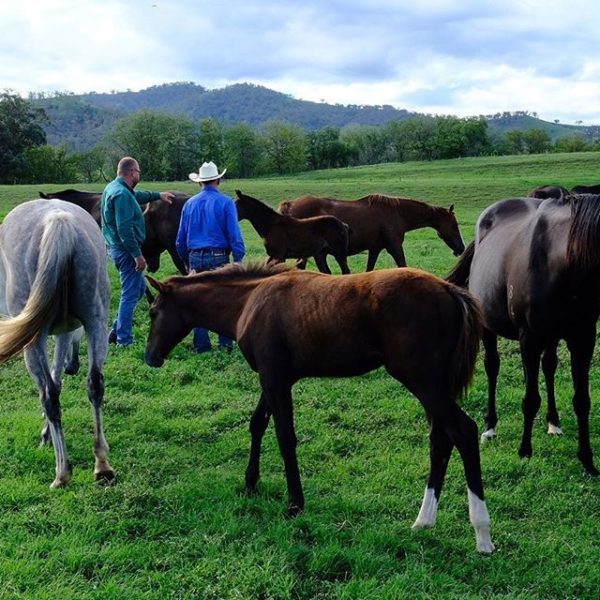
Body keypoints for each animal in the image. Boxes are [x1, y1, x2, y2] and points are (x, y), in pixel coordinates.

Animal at [0, 199, 114, 490]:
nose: (74, 365)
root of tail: (59, 223)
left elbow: (50, 386)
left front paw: (46, 435)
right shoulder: (64, 332)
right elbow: (57, 377)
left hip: (33, 341)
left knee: (49, 395)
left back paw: (62, 473)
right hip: (96, 319)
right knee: (94, 384)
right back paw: (102, 466)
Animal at [144, 262, 492, 552]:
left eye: (152, 312)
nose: (150, 357)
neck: (250, 301)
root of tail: (449, 289)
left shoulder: (275, 379)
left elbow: (285, 437)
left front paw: (294, 504)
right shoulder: (273, 378)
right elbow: (257, 424)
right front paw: (250, 483)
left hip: (423, 381)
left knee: (463, 431)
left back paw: (482, 535)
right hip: (433, 386)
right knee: (441, 439)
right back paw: (424, 521)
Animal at [278, 193, 466, 270]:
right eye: (454, 225)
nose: (461, 248)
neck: (397, 212)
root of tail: (290, 204)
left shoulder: (375, 249)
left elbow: (369, 269)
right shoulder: (394, 247)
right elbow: (403, 265)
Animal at [448, 195, 600, 476]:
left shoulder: (583, 338)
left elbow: (582, 400)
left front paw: (587, 460)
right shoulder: (529, 338)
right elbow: (530, 399)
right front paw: (525, 450)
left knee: (549, 366)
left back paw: (553, 422)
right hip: (490, 327)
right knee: (493, 368)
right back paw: (490, 427)